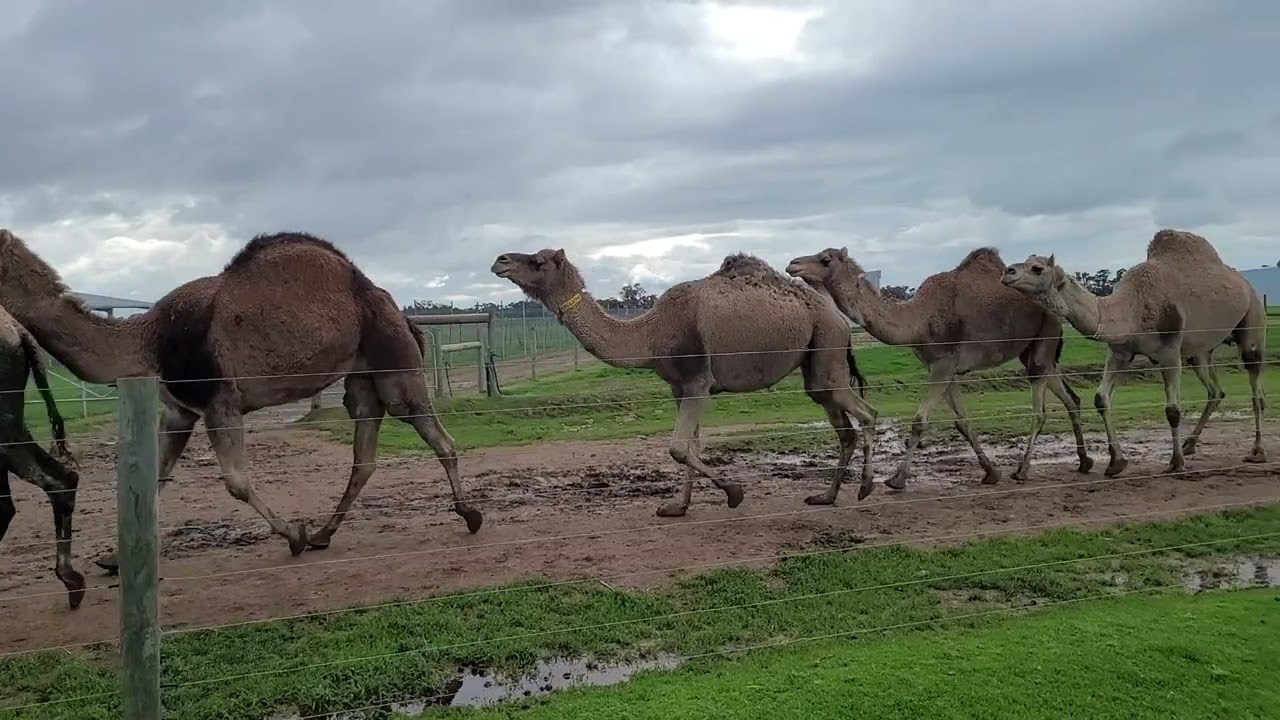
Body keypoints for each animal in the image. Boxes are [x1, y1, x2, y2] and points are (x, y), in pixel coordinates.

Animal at [0, 229, 483, 575]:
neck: (145, 341)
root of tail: (394, 308)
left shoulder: (220, 402)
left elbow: (236, 482)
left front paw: (293, 536)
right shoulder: (178, 411)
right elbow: (155, 477)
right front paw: (114, 560)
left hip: (394, 360)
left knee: (437, 437)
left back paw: (471, 516)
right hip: (362, 381)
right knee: (364, 456)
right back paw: (326, 533)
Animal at [491, 249, 879, 515]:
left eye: (538, 261)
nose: (500, 260)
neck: (651, 335)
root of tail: (839, 317)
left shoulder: (697, 382)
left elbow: (678, 448)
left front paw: (734, 493)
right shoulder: (678, 387)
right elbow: (692, 446)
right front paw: (678, 506)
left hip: (826, 349)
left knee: (868, 413)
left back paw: (866, 488)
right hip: (817, 367)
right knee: (844, 427)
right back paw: (826, 496)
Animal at [786, 247, 1092, 488]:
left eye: (825, 259)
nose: (792, 264)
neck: (917, 319)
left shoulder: (943, 365)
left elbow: (919, 421)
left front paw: (897, 479)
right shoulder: (946, 368)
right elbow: (962, 422)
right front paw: (990, 472)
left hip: (1044, 338)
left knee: (1040, 411)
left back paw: (1024, 470)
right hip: (1036, 352)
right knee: (1071, 398)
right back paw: (1085, 461)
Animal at [1001, 228, 1268, 476]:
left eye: (1037, 268)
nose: (1007, 272)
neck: (1132, 307)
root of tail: (1246, 284)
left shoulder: (1170, 352)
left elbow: (1173, 410)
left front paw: (1176, 463)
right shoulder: (1120, 352)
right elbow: (1101, 399)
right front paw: (1116, 463)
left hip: (1252, 321)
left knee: (1254, 386)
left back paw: (1257, 452)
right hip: (1200, 351)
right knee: (1214, 390)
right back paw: (1190, 444)